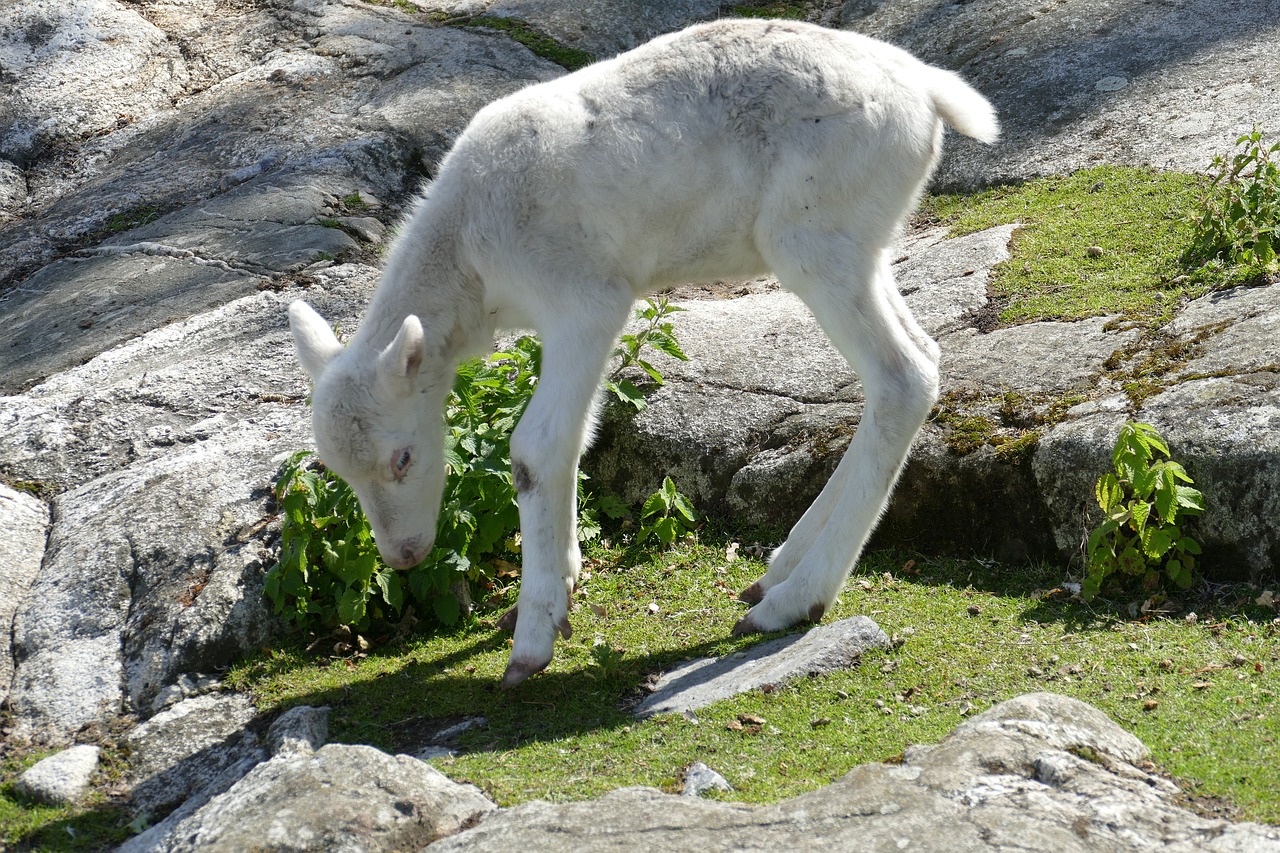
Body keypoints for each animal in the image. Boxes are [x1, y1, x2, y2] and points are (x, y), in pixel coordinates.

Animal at [290, 16, 998, 686]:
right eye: (340, 472)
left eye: (403, 457)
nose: (403, 555)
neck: (473, 269)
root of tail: (929, 92)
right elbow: (578, 436)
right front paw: (561, 582)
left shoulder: (587, 300)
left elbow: (536, 447)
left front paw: (531, 640)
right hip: (863, 243)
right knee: (922, 357)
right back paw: (775, 571)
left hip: (815, 236)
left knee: (902, 376)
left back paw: (793, 601)